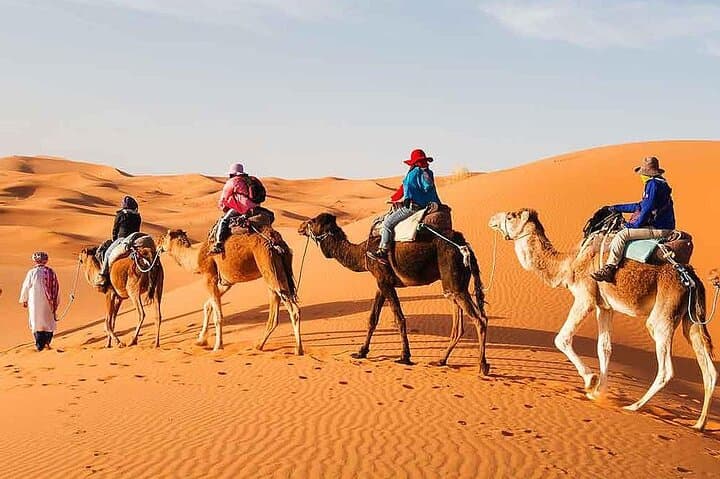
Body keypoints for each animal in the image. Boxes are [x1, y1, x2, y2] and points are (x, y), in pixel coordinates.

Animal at [159, 228, 302, 354]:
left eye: (164, 237)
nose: (158, 244)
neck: (197, 256)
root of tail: (278, 242)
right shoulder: (226, 282)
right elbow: (207, 306)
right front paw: (201, 340)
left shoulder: (209, 276)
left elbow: (218, 316)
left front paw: (217, 346)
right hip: (277, 272)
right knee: (275, 311)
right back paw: (259, 345)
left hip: (268, 266)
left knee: (293, 309)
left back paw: (298, 349)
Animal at [299, 213, 490, 374]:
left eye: (312, 221)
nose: (300, 227)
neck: (363, 252)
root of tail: (465, 246)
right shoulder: (381, 282)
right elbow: (372, 319)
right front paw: (361, 352)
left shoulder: (384, 281)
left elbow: (399, 318)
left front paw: (405, 356)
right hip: (456, 284)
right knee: (460, 323)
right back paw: (441, 361)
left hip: (452, 277)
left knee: (480, 319)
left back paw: (482, 366)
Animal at [489, 208, 716, 430]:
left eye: (511, 216)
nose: (492, 219)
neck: (570, 264)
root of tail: (692, 279)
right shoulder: (605, 307)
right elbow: (604, 348)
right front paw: (599, 393)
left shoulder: (585, 298)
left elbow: (561, 339)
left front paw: (591, 381)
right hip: (691, 319)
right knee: (709, 370)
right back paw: (699, 424)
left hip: (663, 314)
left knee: (666, 369)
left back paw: (633, 406)